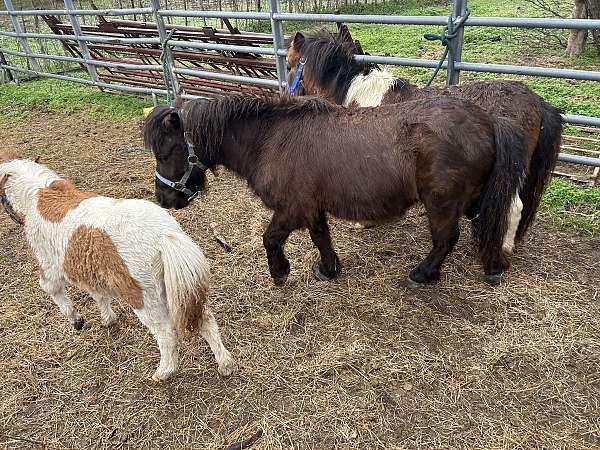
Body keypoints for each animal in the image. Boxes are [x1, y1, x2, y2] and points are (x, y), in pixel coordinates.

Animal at [0, 150, 237, 380]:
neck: (38, 195)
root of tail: (164, 237)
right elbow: (99, 295)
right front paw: (108, 319)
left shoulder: (50, 268)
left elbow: (55, 293)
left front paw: (77, 321)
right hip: (181, 289)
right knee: (205, 320)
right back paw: (225, 364)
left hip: (145, 300)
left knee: (166, 335)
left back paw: (164, 372)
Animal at [143, 93, 528, 286]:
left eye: (166, 151)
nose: (164, 198)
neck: (271, 139)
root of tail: (487, 120)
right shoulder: (312, 207)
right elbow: (321, 237)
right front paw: (329, 269)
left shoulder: (291, 208)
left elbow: (270, 238)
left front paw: (280, 272)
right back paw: (492, 264)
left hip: (442, 203)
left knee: (446, 239)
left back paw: (422, 274)